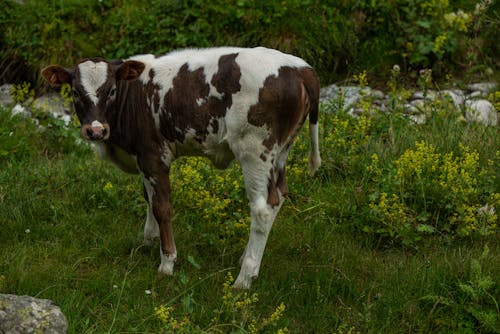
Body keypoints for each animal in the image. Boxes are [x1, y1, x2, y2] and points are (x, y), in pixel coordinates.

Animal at [40, 45, 320, 288]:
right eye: (75, 92)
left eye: (111, 90)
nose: (96, 130)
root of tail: (300, 67)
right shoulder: (143, 158)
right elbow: (149, 199)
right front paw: (148, 241)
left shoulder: (154, 155)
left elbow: (162, 207)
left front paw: (167, 263)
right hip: (280, 152)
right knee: (279, 197)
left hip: (254, 150)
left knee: (262, 209)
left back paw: (244, 278)